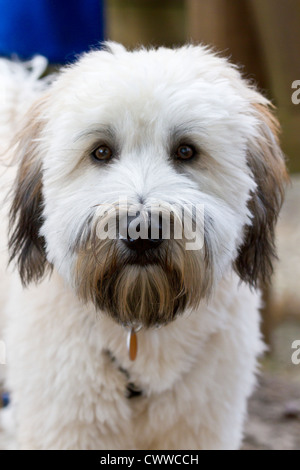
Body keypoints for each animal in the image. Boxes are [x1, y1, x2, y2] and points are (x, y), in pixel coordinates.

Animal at [0, 44, 288, 452]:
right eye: (101, 152)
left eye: (186, 151)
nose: (141, 231)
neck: (141, 320)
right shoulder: (66, 425)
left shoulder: (202, 427)